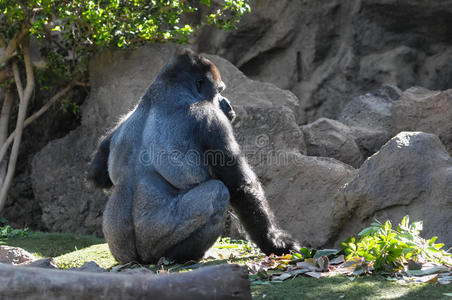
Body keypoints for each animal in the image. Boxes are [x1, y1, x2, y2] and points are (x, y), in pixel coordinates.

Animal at [88, 48, 300, 264]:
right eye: (219, 91)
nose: (228, 104)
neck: (164, 92)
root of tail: (136, 259)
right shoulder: (211, 119)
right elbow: (241, 186)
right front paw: (275, 243)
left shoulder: (121, 121)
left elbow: (96, 176)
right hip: (153, 242)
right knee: (218, 192)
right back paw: (181, 256)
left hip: (119, 249)